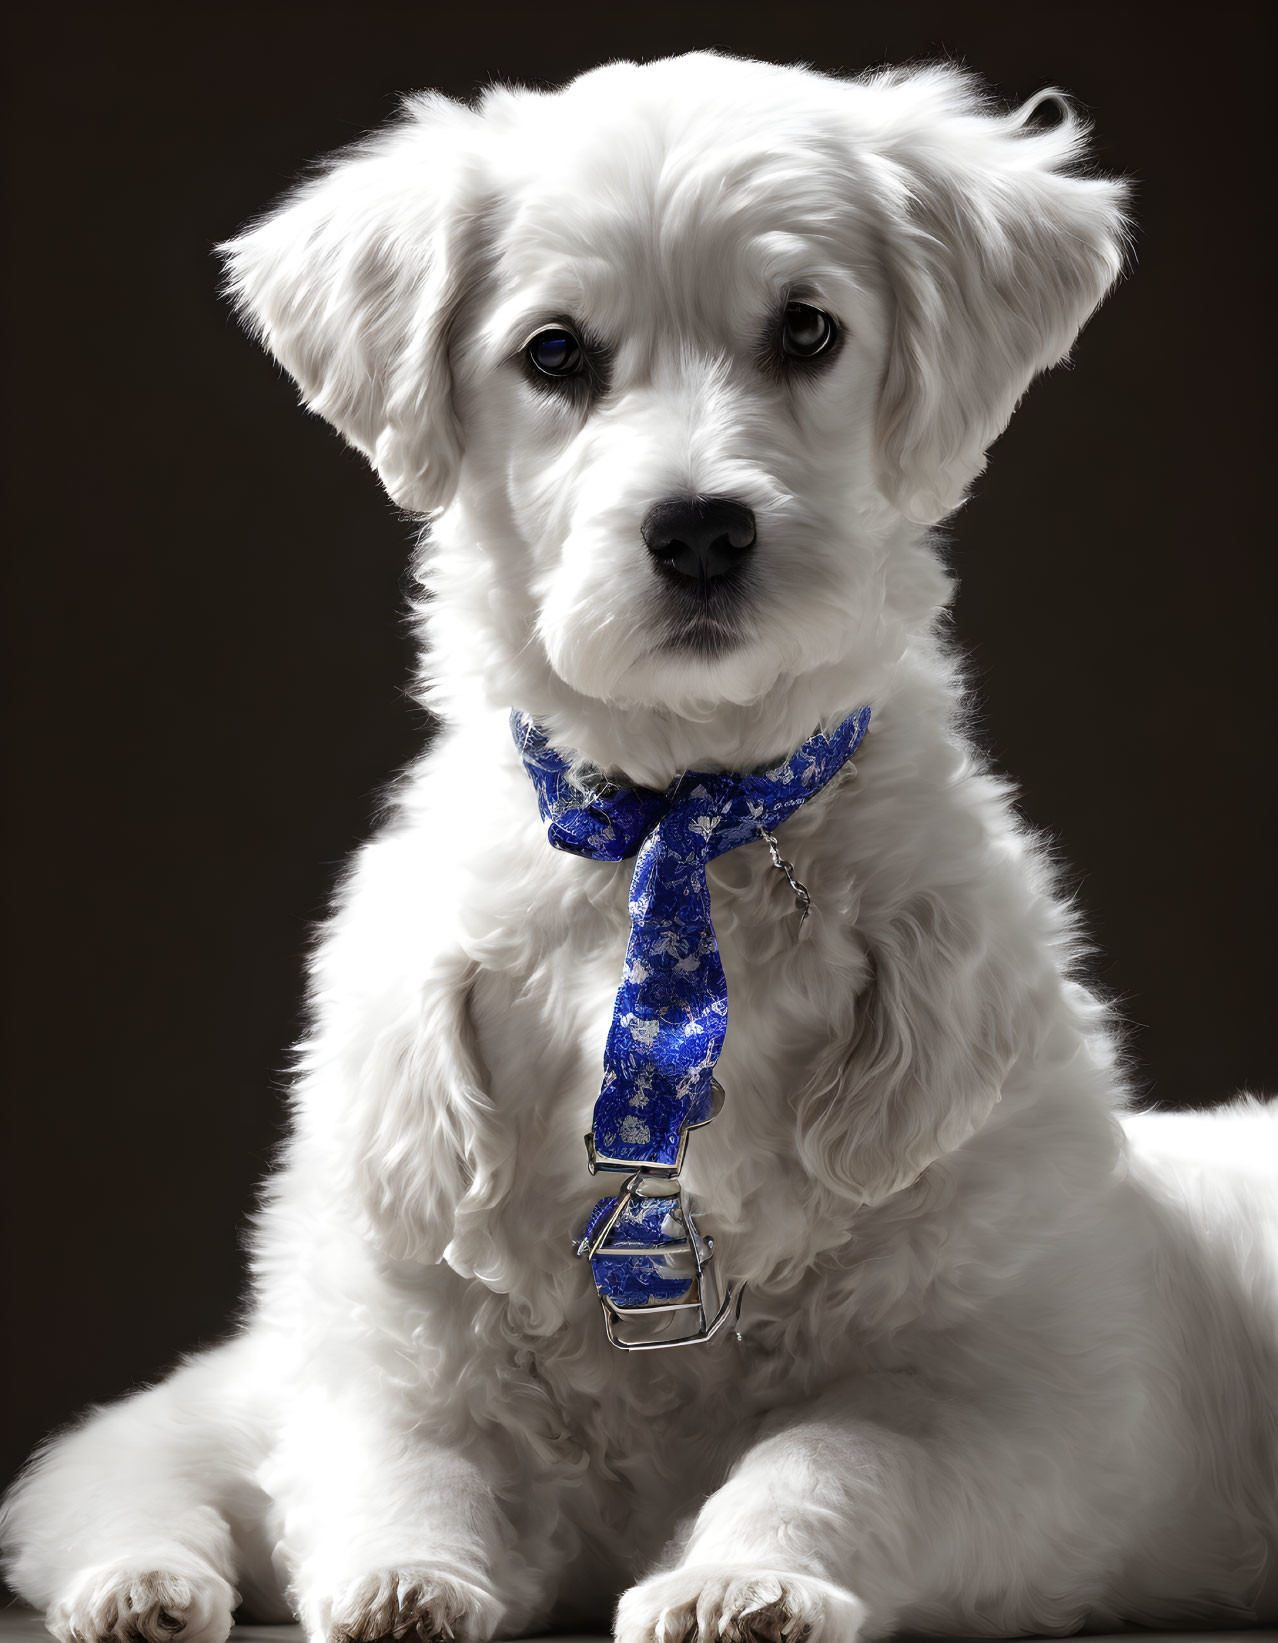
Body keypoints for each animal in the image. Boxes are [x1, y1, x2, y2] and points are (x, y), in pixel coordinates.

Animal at [2, 44, 1274, 1636]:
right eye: (554, 354)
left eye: (806, 329)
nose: (701, 530)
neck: (682, 804)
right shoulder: (390, 1339)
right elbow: (403, 1469)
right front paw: (408, 1581)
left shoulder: (992, 1399)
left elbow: (828, 1458)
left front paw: (741, 1576)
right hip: (239, 1384)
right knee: (105, 1467)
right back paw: (142, 1578)